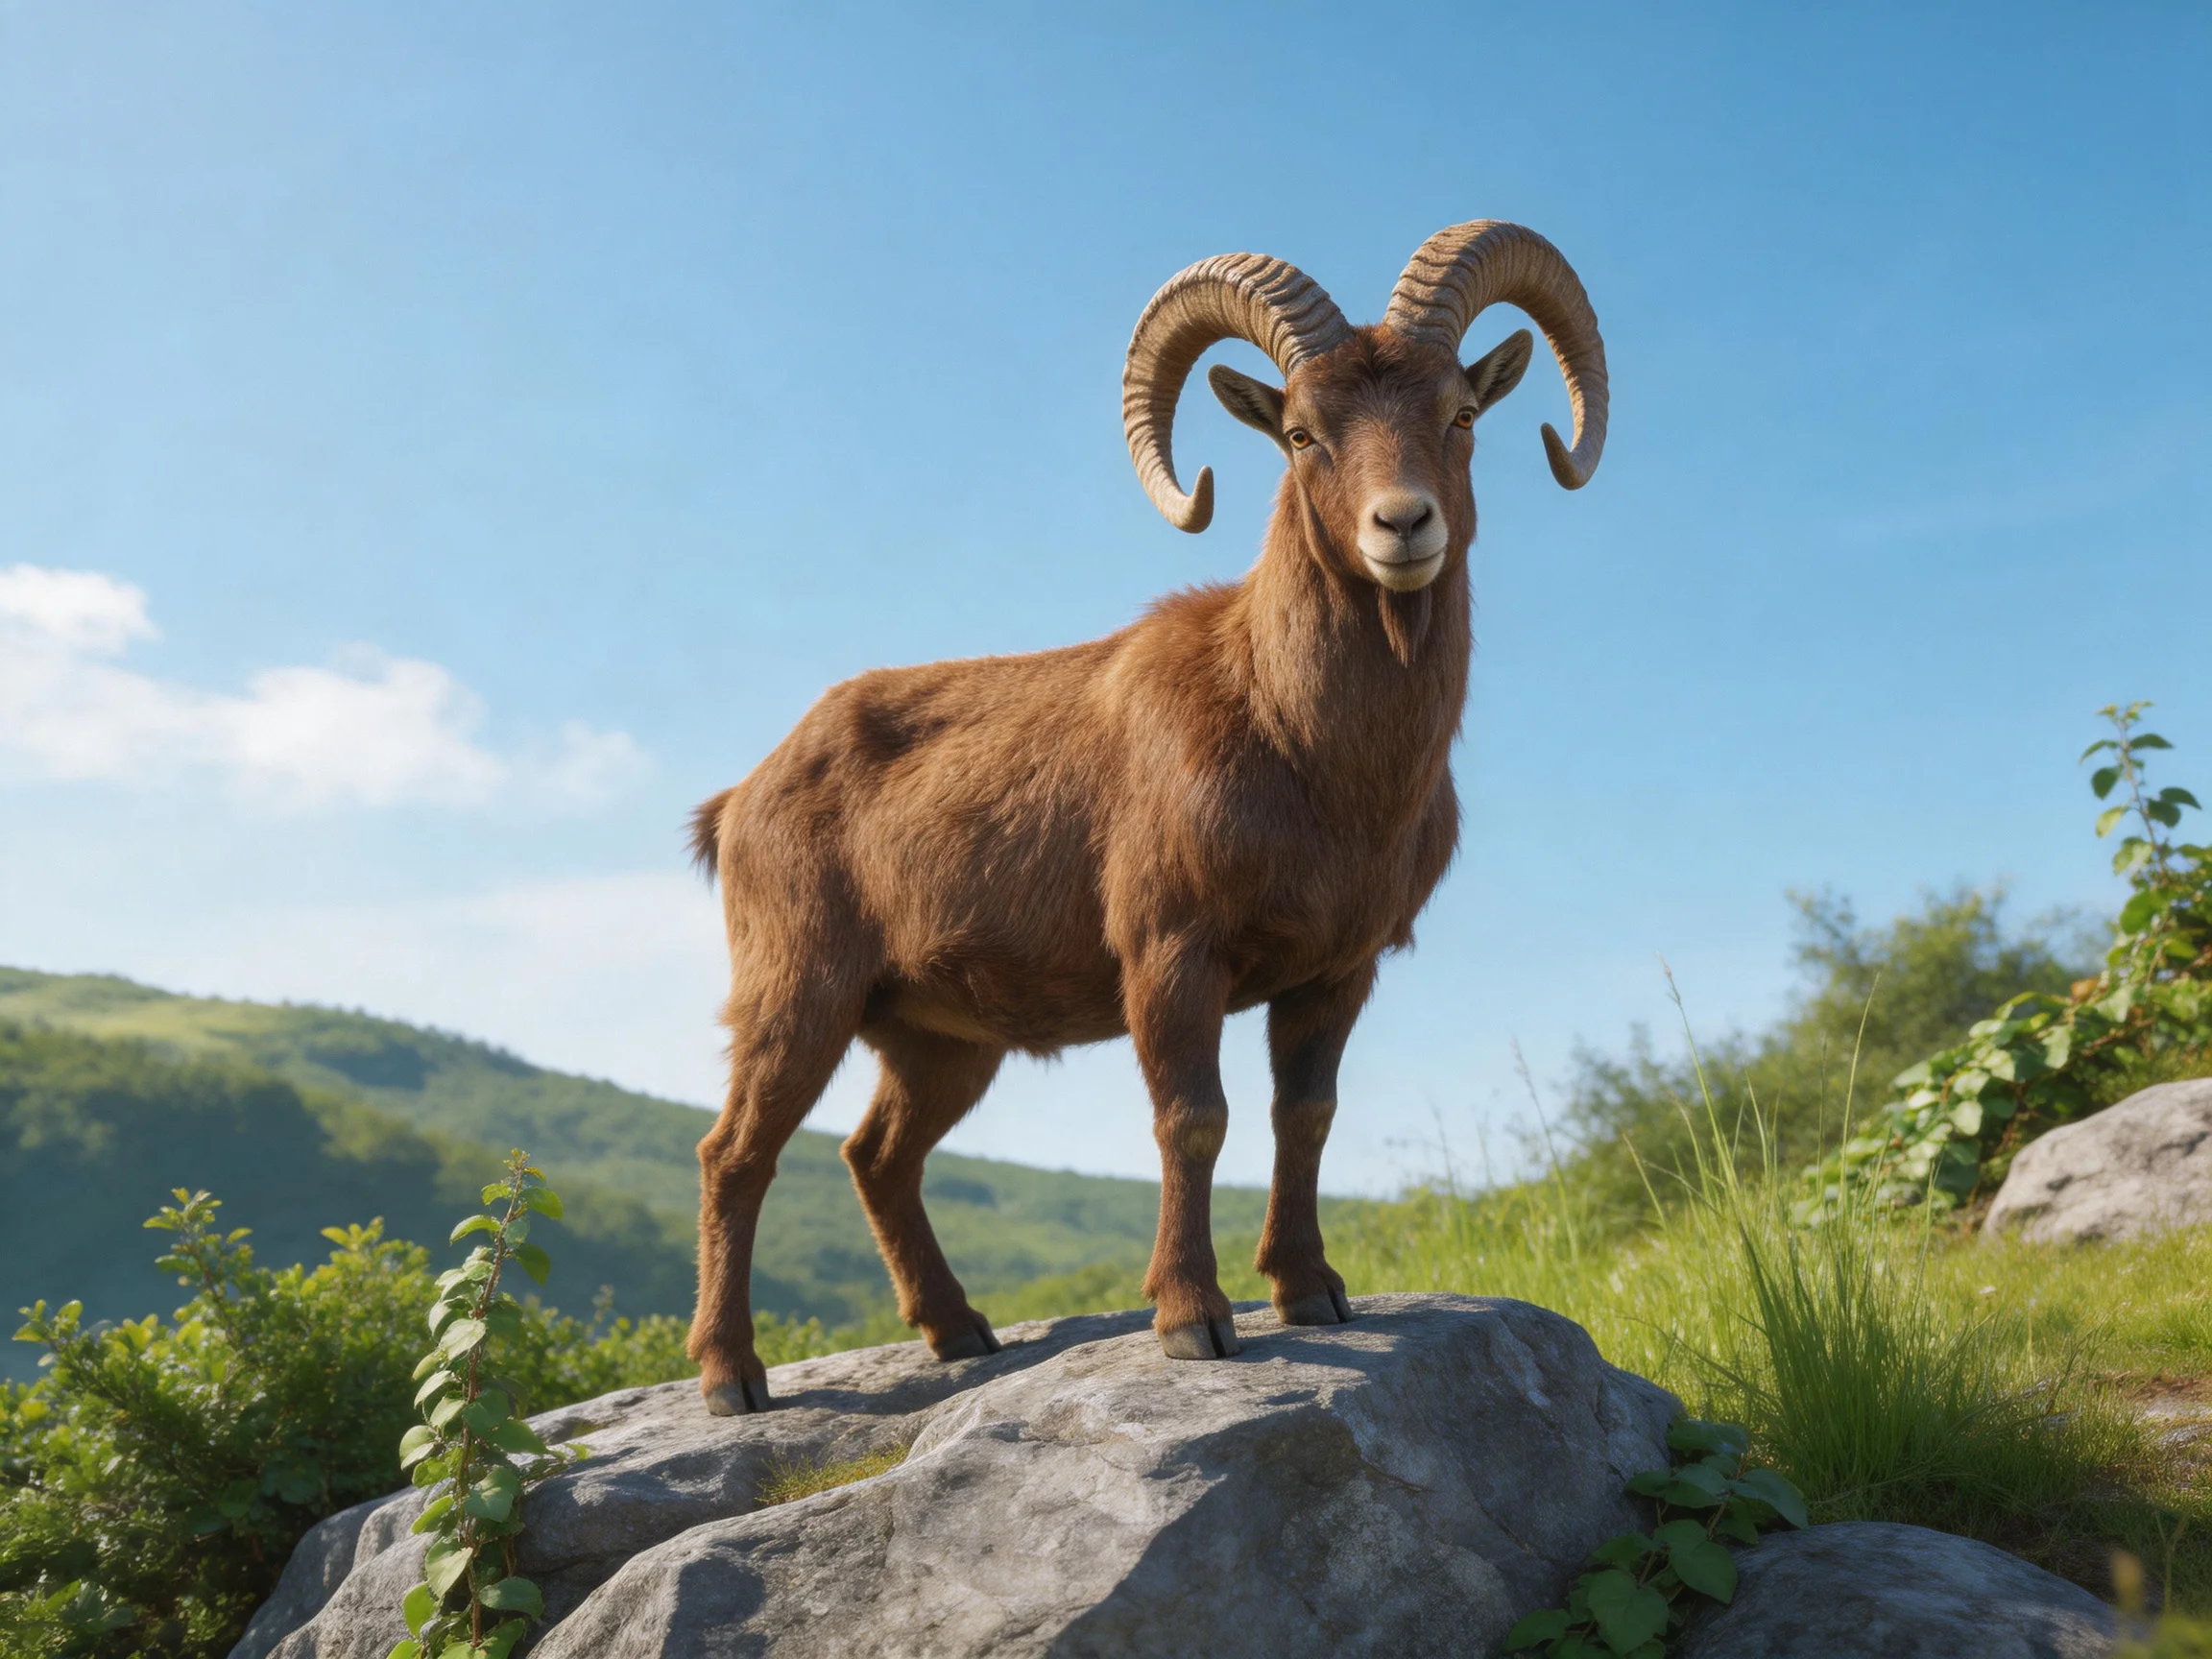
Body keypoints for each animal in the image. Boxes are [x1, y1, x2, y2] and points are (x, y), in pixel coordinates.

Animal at [686, 221, 1608, 1413]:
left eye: (1460, 414)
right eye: (1301, 433)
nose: (1403, 526)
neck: (1302, 747)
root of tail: (739, 801)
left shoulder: (1334, 973)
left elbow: (1305, 1118)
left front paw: (1311, 1293)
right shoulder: (1173, 953)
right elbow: (1193, 1119)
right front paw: (1193, 1320)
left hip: (938, 1041)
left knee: (877, 1155)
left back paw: (959, 1333)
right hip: (799, 994)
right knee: (735, 1155)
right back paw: (731, 1377)